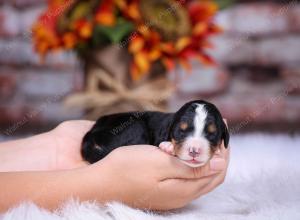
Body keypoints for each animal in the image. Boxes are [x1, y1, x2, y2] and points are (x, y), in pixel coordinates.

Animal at [81, 99, 229, 167]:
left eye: (212, 133)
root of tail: (91, 135)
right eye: (181, 131)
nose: (194, 150)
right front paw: (168, 147)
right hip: (135, 126)